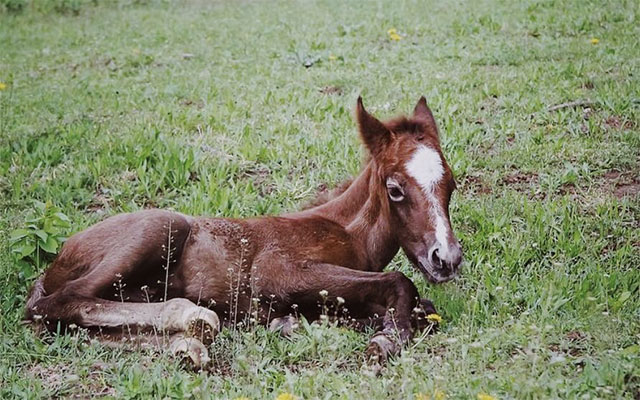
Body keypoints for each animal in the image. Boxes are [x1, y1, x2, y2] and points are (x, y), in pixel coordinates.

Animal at [26, 95, 464, 368]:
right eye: (395, 189)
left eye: (452, 184)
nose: (446, 258)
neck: (346, 231)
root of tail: (59, 258)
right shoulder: (275, 271)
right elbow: (400, 282)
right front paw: (386, 339)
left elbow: (420, 307)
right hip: (161, 226)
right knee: (58, 303)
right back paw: (192, 317)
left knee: (70, 325)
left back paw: (188, 345)